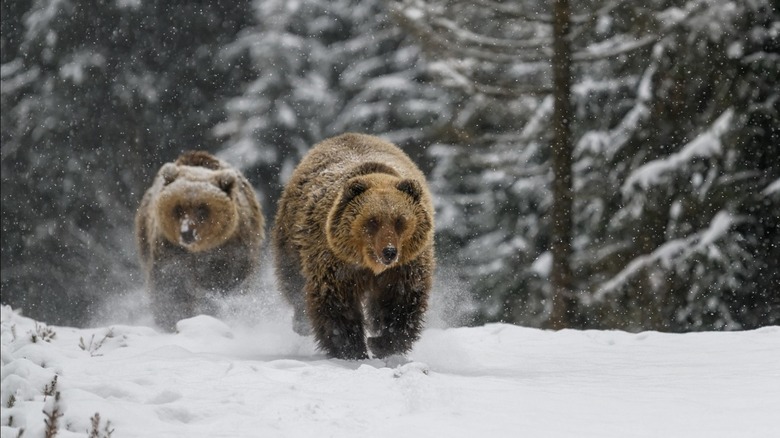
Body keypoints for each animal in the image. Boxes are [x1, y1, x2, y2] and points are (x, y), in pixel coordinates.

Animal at [135, 152, 266, 330]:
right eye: (178, 208)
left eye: (202, 209)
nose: (187, 233)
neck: (198, 251)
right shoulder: (170, 249)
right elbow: (170, 285)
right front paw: (173, 318)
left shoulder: (228, 250)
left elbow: (224, 283)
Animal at [272, 133, 432, 360]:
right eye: (372, 221)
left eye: (400, 220)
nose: (389, 252)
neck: (370, 265)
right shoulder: (336, 262)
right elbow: (337, 303)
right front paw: (351, 349)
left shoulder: (405, 265)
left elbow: (401, 301)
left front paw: (382, 343)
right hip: (292, 238)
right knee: (292, 279)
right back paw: (300, 322)